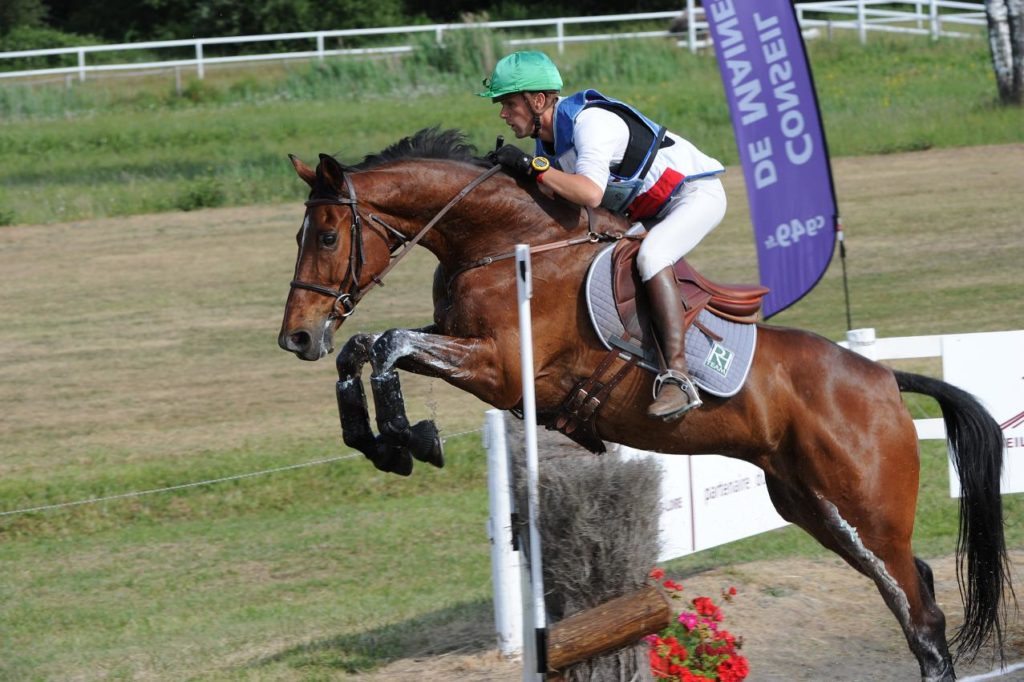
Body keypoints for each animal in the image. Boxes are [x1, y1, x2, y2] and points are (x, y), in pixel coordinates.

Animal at [276, 127, 1011, 679]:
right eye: (300, 237)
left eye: (329, 236)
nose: (297, 337)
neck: (503, 243)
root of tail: (884, 379)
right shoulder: (468, 352)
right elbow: (364, 349)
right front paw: (379, 441)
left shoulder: (502, 371)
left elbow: (388, 344)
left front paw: (410, 437)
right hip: (816, 509)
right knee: (914, 591)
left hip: (864, 512)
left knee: (922, 616)